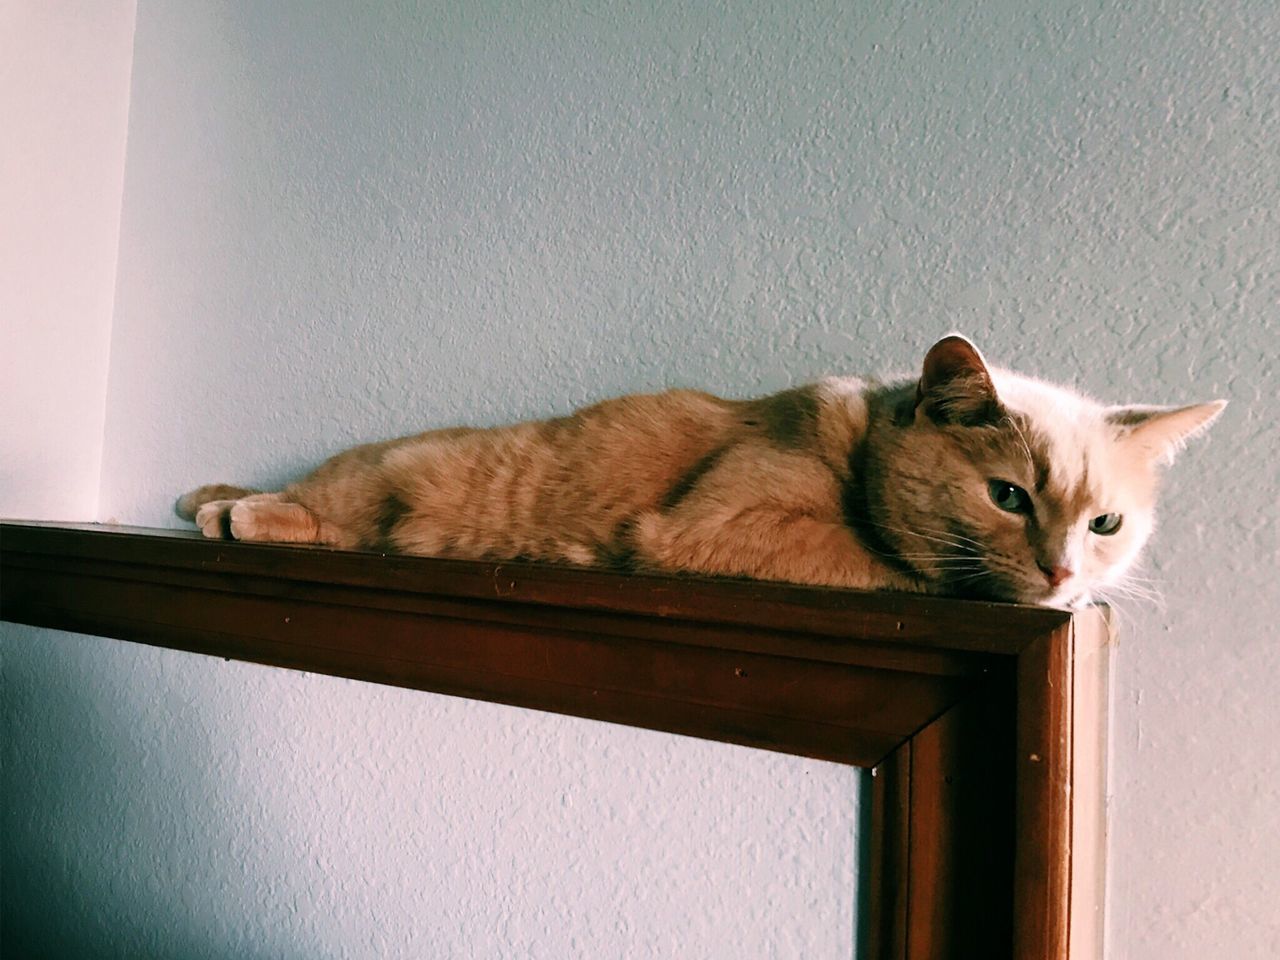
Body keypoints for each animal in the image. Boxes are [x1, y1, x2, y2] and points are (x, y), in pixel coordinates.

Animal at [177, 337, 1218, 609]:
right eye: (1008, 496)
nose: (1064, 571)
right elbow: (885, 563)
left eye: (1107, 525)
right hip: (378, 483)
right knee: (313, 505)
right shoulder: (718, 526)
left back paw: (212, 500)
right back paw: (238, 512)